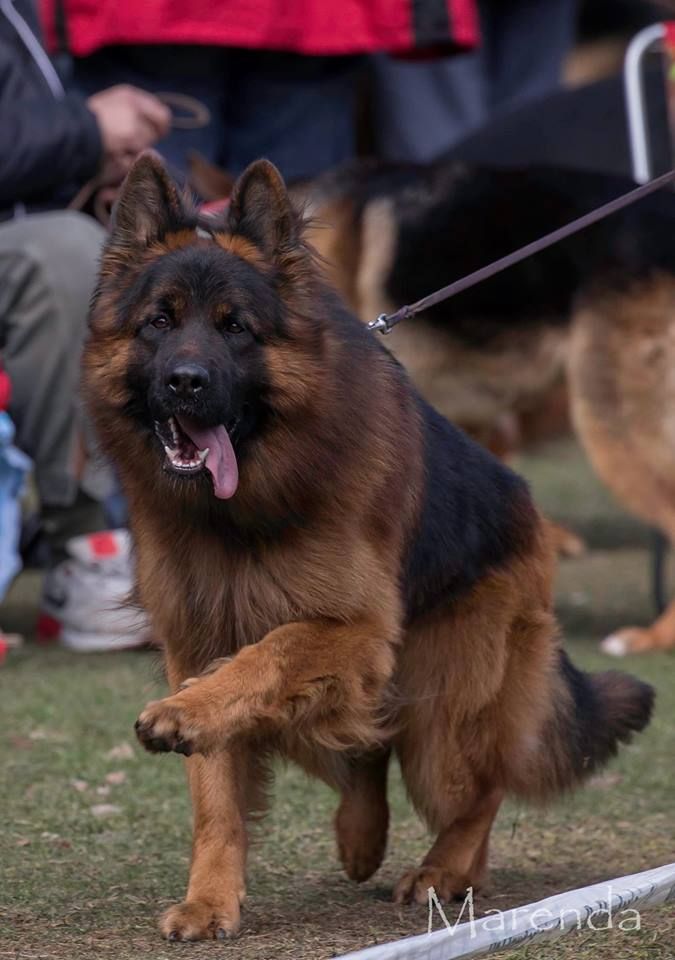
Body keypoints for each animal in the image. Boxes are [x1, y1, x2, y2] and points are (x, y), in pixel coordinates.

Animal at [83, 154, 656, 940]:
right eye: (158, 322)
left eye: (236, 328)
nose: (185, 382)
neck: (242, 510)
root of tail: (529, 507)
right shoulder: (196, 640)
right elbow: (215, 793)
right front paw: (209, 899)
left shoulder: (355, 628)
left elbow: (271, 651)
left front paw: (184, 714)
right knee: (367, 746)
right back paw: (369, 839)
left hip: (441, 714)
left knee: (479, 787)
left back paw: (444, 870)